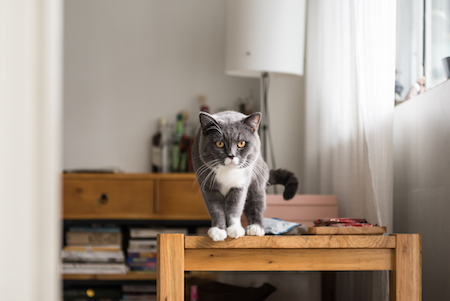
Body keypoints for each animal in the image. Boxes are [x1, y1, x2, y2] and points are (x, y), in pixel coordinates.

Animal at [191, 110, 298, 241]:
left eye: (241, 143)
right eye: (219, 143)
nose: (231, 156)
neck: (228, 172)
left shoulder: (240, 185)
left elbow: (235, 207)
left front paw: (235, 229)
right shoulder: (208, 187)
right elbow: (215, 209)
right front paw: (218, 230)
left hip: (257, 180)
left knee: (257, 202)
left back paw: (255, 228)